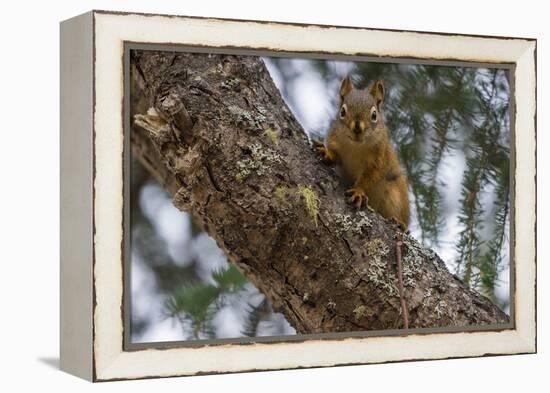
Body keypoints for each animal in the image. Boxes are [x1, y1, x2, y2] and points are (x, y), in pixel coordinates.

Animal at [312, 76, 412, 228]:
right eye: (342, 112)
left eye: (374, 115)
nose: (357, 128)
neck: (356, 147)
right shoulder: (336, 143)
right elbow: (336, 156)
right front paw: (327, 152)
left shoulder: (379, 158)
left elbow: (371, 176)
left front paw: (358, 191)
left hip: (396, 197)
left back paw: (399, 222)